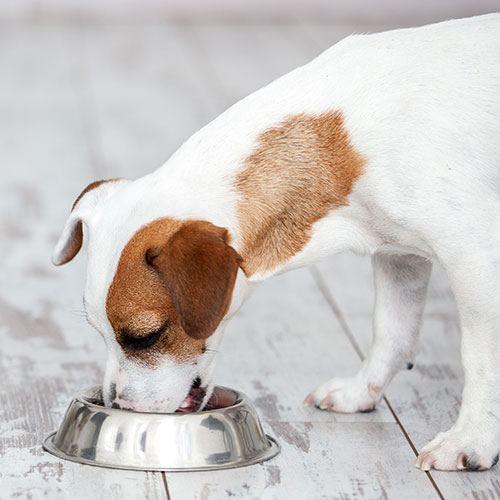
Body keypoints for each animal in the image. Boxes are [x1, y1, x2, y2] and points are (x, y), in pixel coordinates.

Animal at [52, 13, 500, 470]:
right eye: (99, 331)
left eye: (146, 337)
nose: (118, 407)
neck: (342, 144)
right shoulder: (399, 257)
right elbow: (391, 331)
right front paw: (361, 391)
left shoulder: (476, 260)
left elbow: (479, 358)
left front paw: (471, 440)